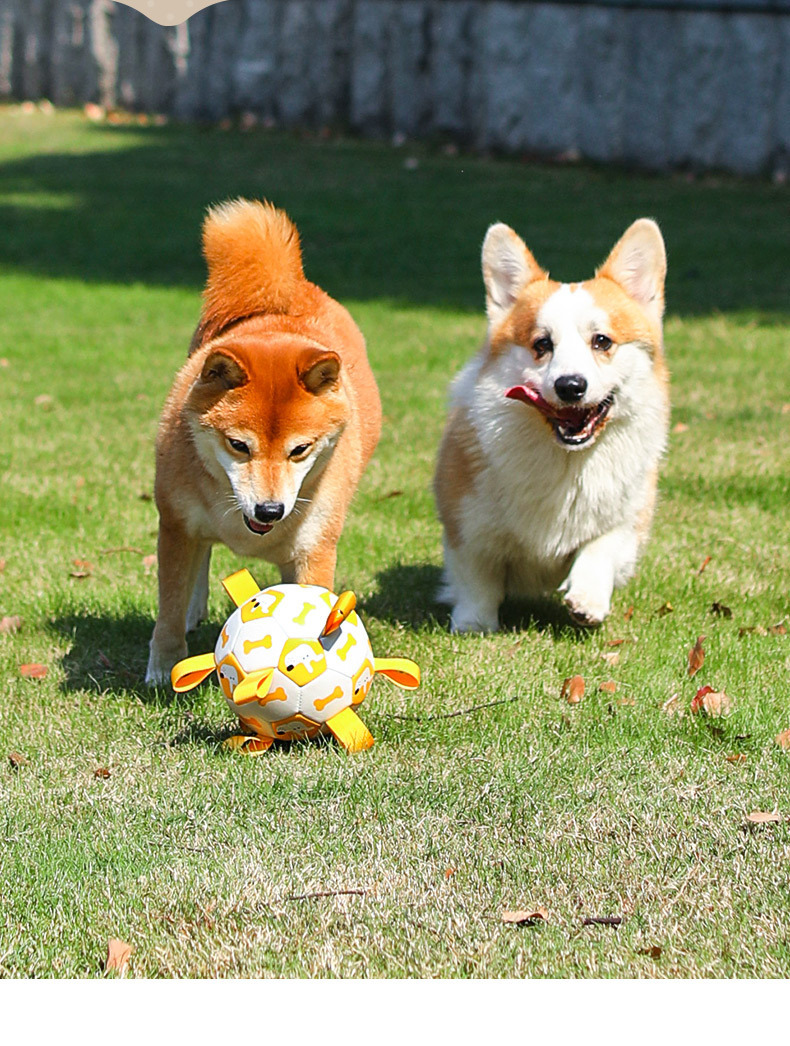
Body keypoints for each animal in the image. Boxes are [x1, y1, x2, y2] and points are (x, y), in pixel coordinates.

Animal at [145, 199, 381, 685]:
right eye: (239, 446)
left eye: (300, 449)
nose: (269, 510)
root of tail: (288, 290)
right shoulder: (175, 524)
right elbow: (170, 606)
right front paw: (164, 666)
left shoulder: (314, 549)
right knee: (200, 561)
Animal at [434, 218, 668, 632]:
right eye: (542, 344)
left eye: (602, 341)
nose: (570, 386)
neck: (567, 460)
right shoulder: (466, 521)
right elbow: (477, 575)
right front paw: (474, 623)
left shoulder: (628, 520)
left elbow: (601, 547)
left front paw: (587, 599)